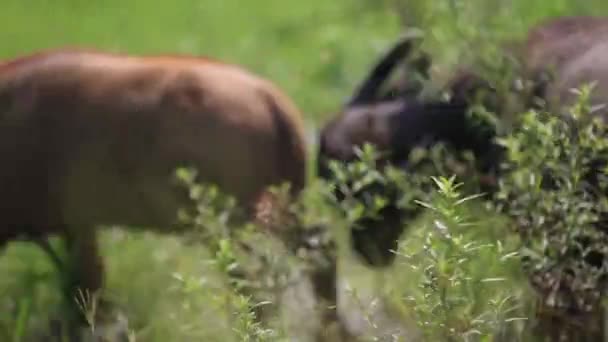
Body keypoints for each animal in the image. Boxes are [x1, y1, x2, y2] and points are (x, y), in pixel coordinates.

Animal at [0, 46, 314, 330]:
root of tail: (270, 95)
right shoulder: (76, 222)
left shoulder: (75, 218)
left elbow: (88, 288)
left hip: (231, 219)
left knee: (258, 284)